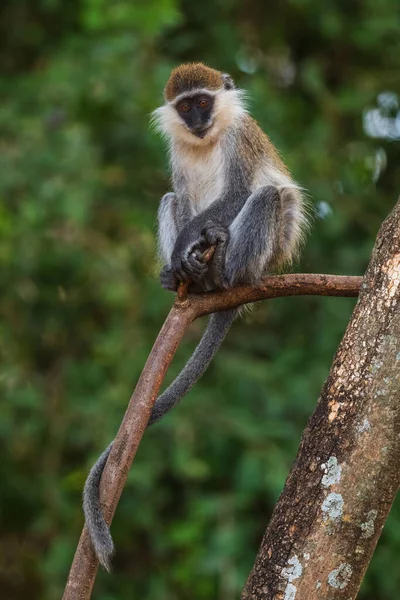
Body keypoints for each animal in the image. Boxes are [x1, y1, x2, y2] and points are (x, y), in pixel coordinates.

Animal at [83, 62, 310, 572]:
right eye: (186, 107)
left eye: (204, 101)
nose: (199, 120)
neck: (209, 141)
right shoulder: (177, 153)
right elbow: (180, 197)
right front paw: (176, 259)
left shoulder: (241, 139)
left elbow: (243, 190)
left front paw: (194, 241)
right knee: (170, 198)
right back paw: (186, 277)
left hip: (263, 258)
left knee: (267, 197)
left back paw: (222, 266)